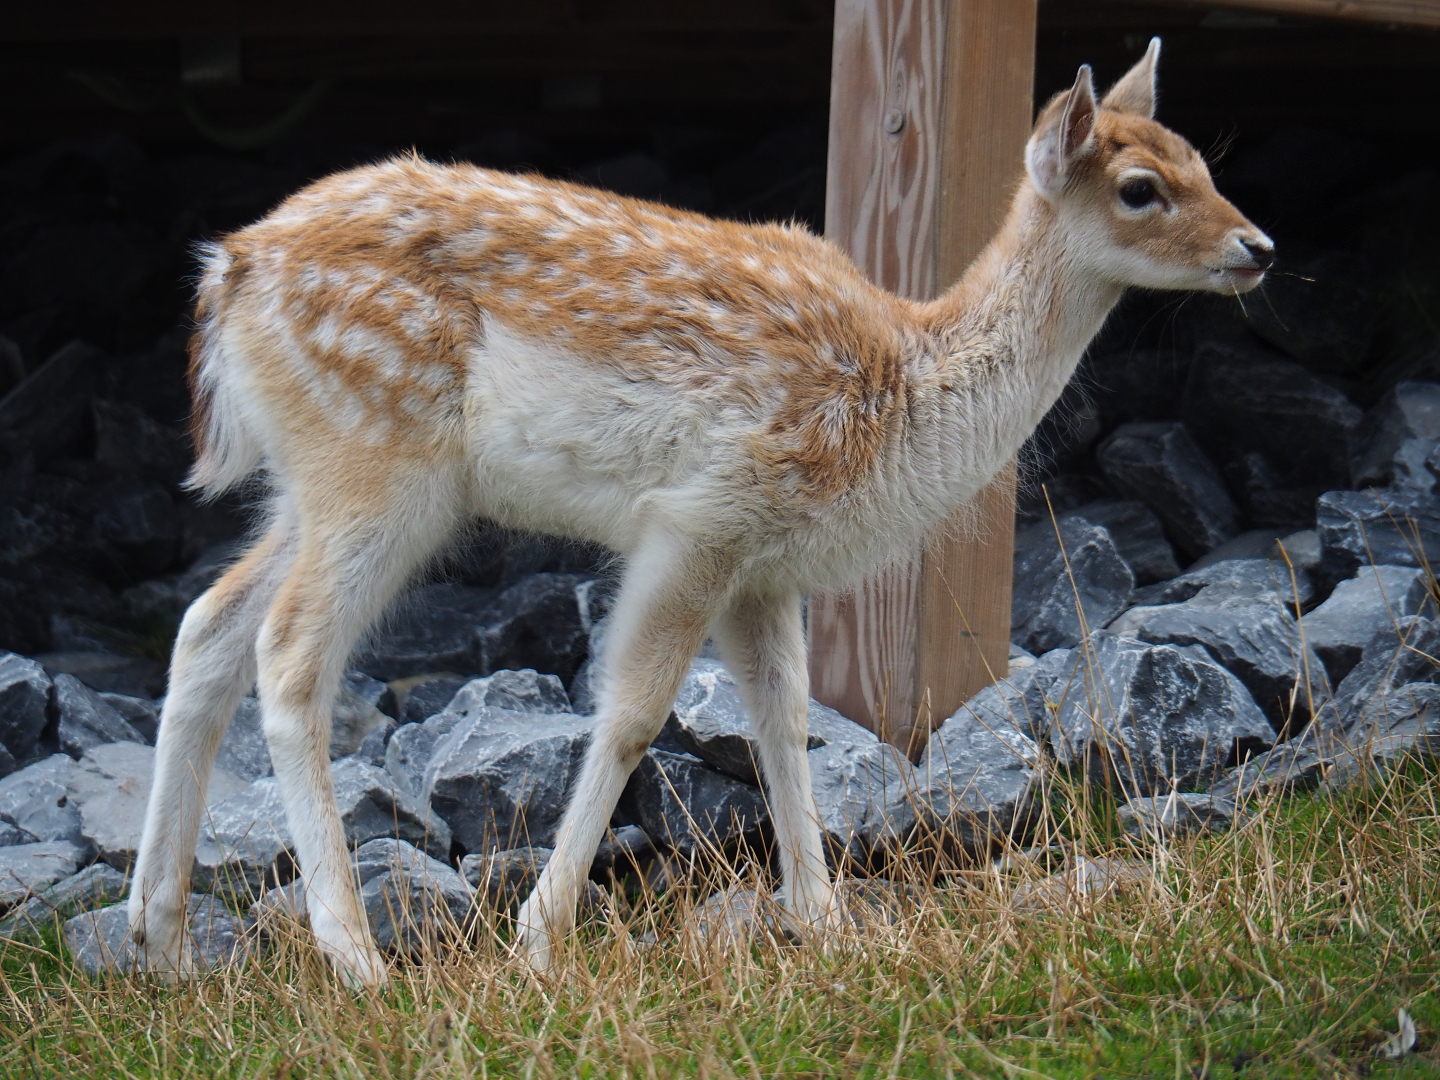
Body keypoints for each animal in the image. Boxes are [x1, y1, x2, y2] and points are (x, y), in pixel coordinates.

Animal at [127, 38, 1272, 986]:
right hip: (378, 456)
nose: (1258, 247)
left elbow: (787, 720)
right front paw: (539, 940)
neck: (900, 393)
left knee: (208, 625)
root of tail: (227, 277)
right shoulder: (705, 513)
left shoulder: (768, 564)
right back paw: (358, 960)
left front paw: (829, 925)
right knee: (288, 651)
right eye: (1139, 188)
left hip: (311, 477)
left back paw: (161, 943)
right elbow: (633, 711)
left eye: (1203, 161)